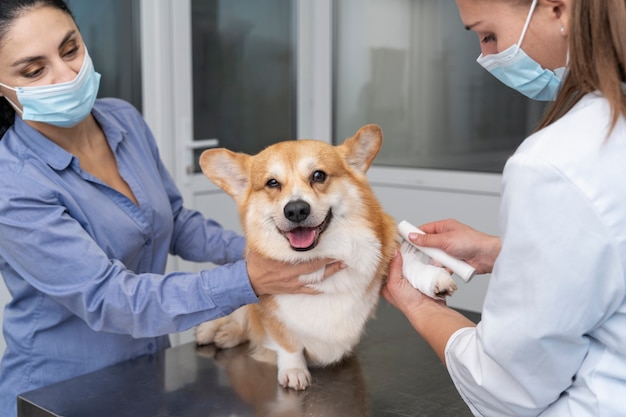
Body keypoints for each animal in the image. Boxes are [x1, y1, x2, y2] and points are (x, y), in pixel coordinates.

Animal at [195, 124, 454, 390]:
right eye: (272, 183)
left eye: (318, 176)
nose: (296, 210)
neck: (322, 255)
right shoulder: (272, 314)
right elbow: (288, 344)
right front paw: (294, 370)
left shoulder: (385, 252)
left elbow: (407, 262)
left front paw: (434, 277)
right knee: (234, 313)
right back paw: (211, 331)